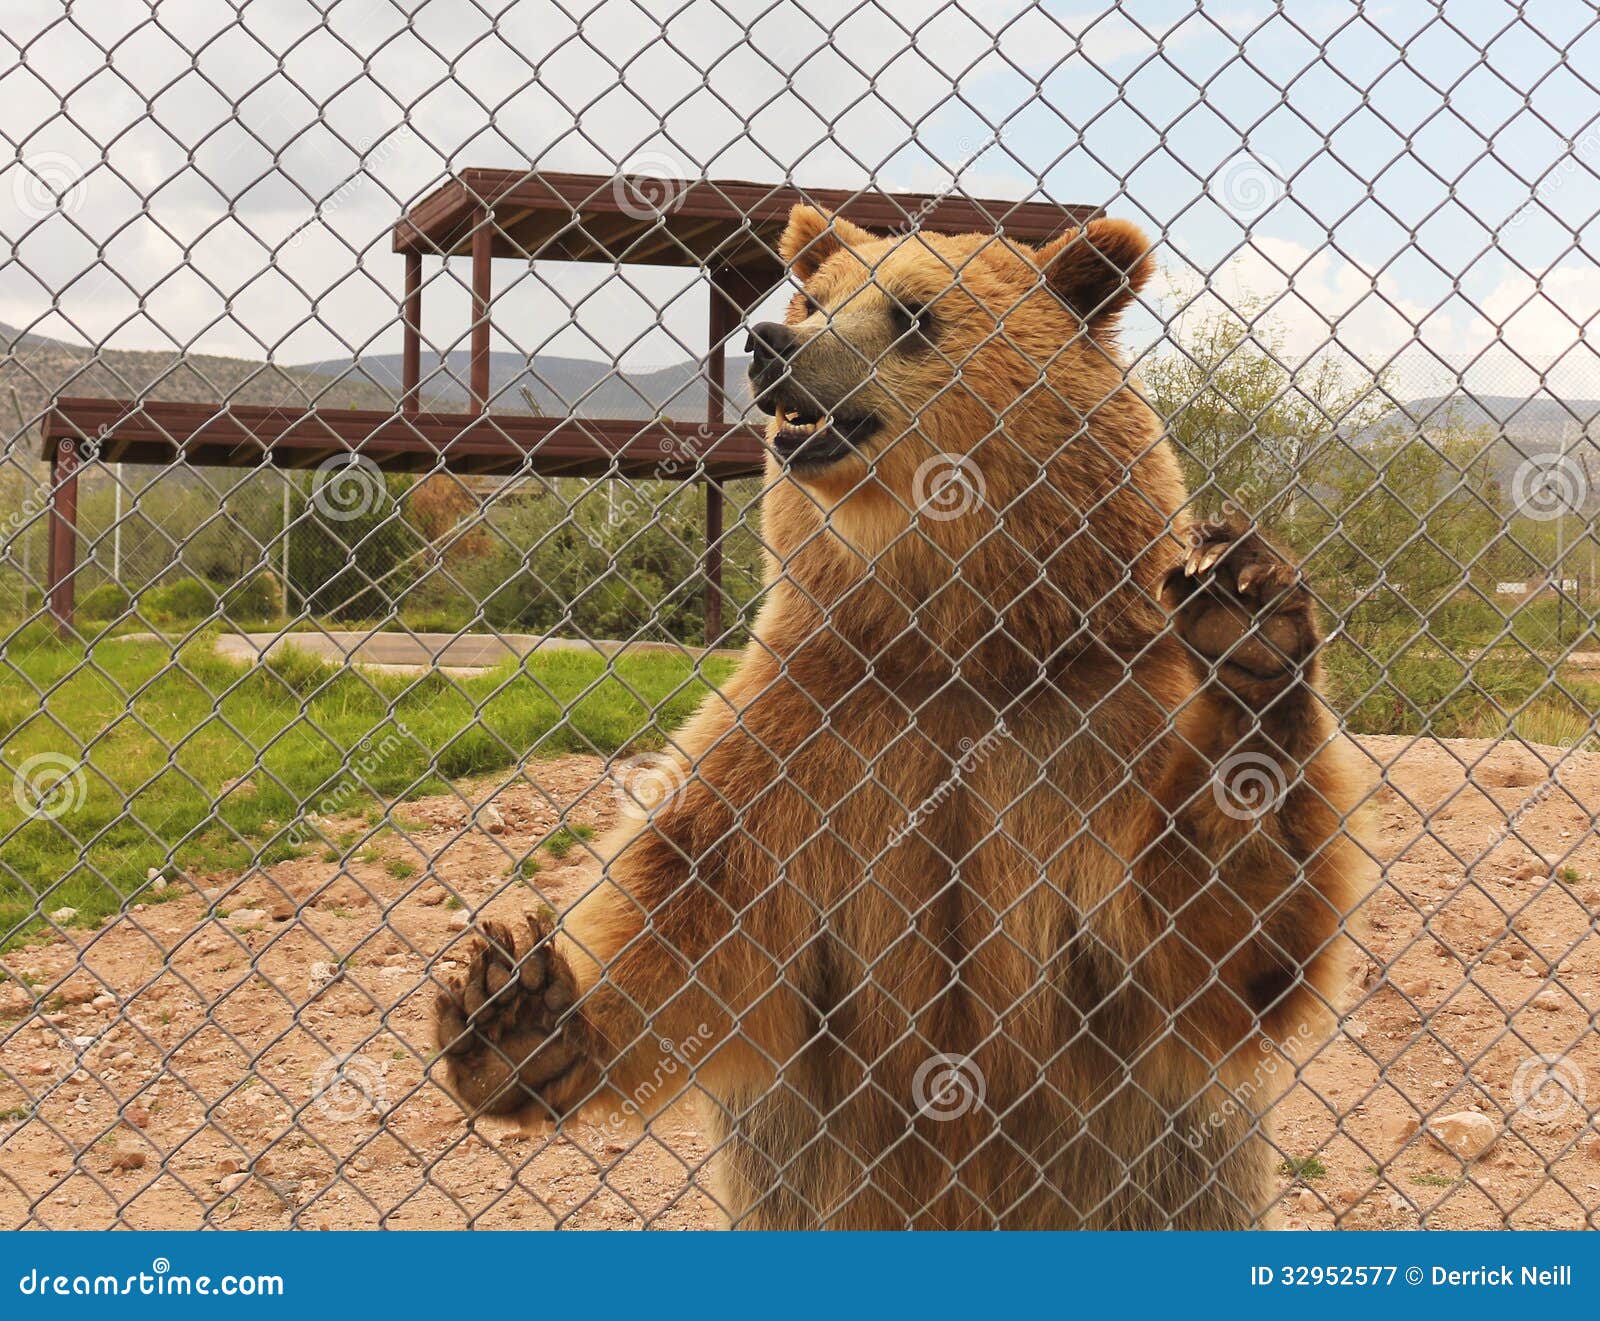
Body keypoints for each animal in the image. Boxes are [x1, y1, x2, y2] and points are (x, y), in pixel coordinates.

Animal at [438, 203, 1376, 1228]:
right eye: (815, 297)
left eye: (914, 313)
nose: (770, 346)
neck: (952, 643)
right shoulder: (809, 732)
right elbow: (684, 904)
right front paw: (515, 1005)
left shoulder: (1096, 723)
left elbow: (1213, 934)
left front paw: (1244, 619)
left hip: (1158, 1189)